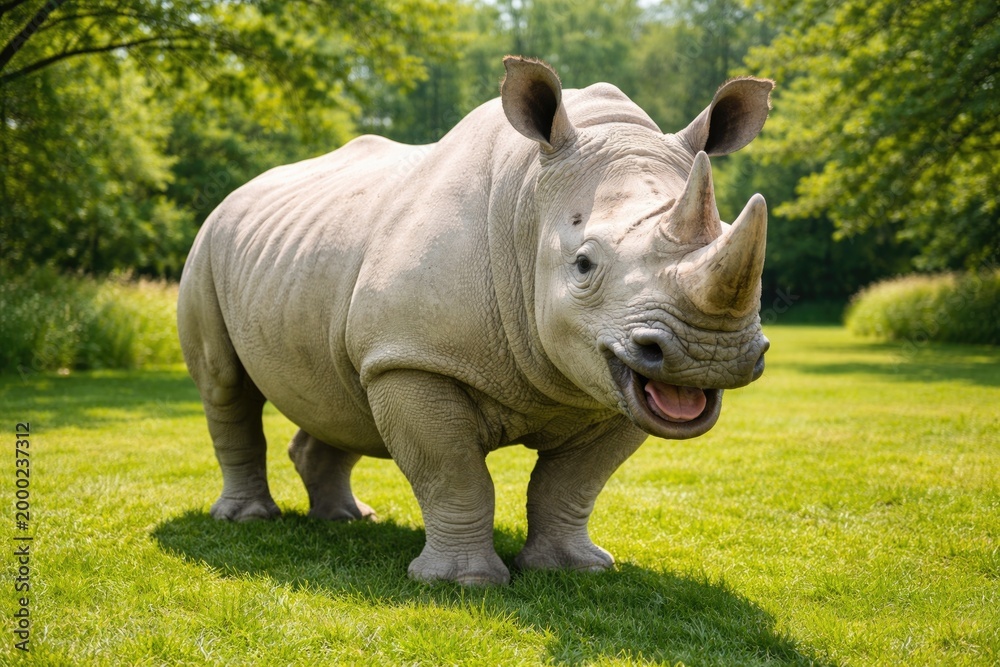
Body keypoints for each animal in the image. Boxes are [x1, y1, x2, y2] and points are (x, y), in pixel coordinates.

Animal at [177, 57, 773, 585]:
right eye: (583, 265)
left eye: (729, 235)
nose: (708, 355)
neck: (530, 204)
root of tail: (237, 194)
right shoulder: (416, 358)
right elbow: (453, 474)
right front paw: (462, 583)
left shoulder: (613, 374)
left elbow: (572, 483)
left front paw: (572, 571)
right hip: (208, 245)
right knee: (225, 383)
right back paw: (247, 520)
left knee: (338, 390)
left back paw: (349, 520)